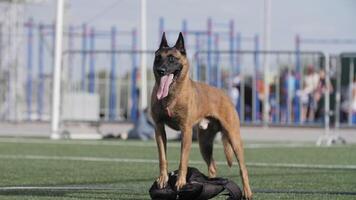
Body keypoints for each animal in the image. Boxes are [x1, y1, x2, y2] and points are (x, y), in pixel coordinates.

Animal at [152, 32, 252, 198]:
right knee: (212, 166)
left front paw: (180, 182)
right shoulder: (159, 128)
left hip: (234, 138)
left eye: (172, 58)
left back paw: (247, 192)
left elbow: (183, 159)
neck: (172, 95)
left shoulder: (185, 131)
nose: (161, 70)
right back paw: (212, 185)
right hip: (204, 144)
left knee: (242, 168)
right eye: (158, 57)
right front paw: (162, 179)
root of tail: (224, 94)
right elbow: (162, 157)